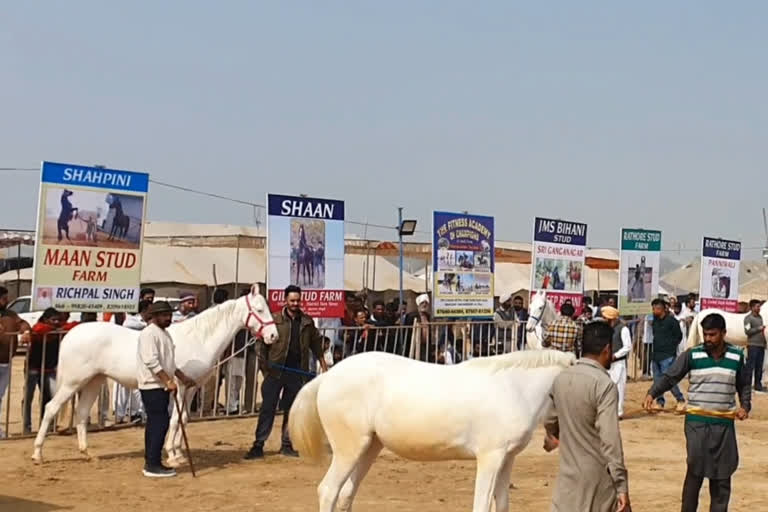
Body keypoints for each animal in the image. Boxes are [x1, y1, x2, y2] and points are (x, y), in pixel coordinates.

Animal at [33, 286, 280, 466]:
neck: (198, 338)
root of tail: (71, 333)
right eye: (259, 310)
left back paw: (87, 453)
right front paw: (171, 454)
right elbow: (174, 419)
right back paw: (38, 455)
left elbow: (185, 419)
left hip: (94, 381)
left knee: (82, 414)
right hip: (73, 382)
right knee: (51, 408)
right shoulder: (179, 387)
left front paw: (179, 452)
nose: (273, 336)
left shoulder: (191, 388)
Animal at [290, 350, 576, 510]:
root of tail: (328, 376)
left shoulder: (507, 459)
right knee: (328, 491)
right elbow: (482, 504)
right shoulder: (490, 458)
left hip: (369, 448)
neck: (514, 388)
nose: (551, 440)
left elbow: (502, 504)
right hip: (349, 450)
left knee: (346, 495)